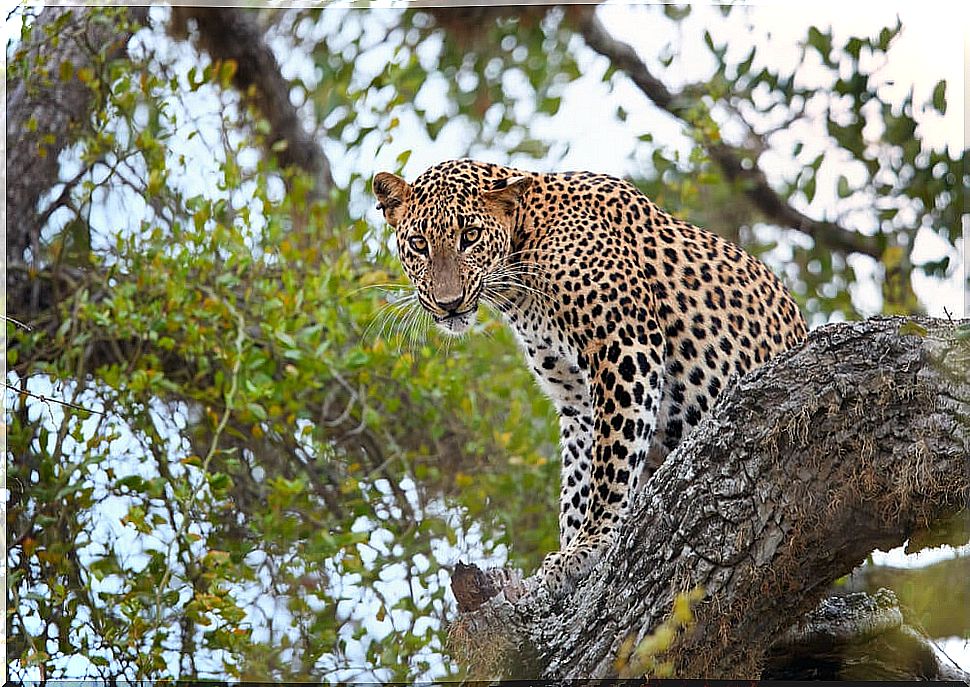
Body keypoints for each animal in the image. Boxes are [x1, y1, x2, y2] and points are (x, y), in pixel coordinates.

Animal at [374, 157, 804, 596]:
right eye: (419, 244)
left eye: (470, 236)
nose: (449, 303)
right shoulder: (575, 398)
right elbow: (580, 479)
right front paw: (569, 549)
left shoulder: (626, 348)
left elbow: (612, 462)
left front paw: (590, 545)